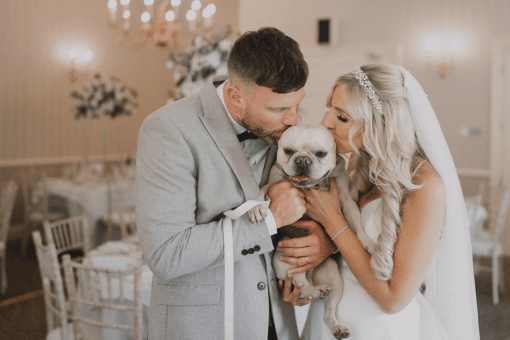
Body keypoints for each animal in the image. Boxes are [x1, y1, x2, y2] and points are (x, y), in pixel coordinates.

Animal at [249, 124, 376, 338]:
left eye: (321, 154)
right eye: (288, 151)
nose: (302, 160)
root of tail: (309, 275)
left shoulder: (345, 199)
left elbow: (356, 222)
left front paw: (366, 241)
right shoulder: (274, 183)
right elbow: (262, 191)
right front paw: (256, 206)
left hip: (333, 276)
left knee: (327, 310)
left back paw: (336, 324)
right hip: (285, 261)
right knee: (302, 288)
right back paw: (315, 291)